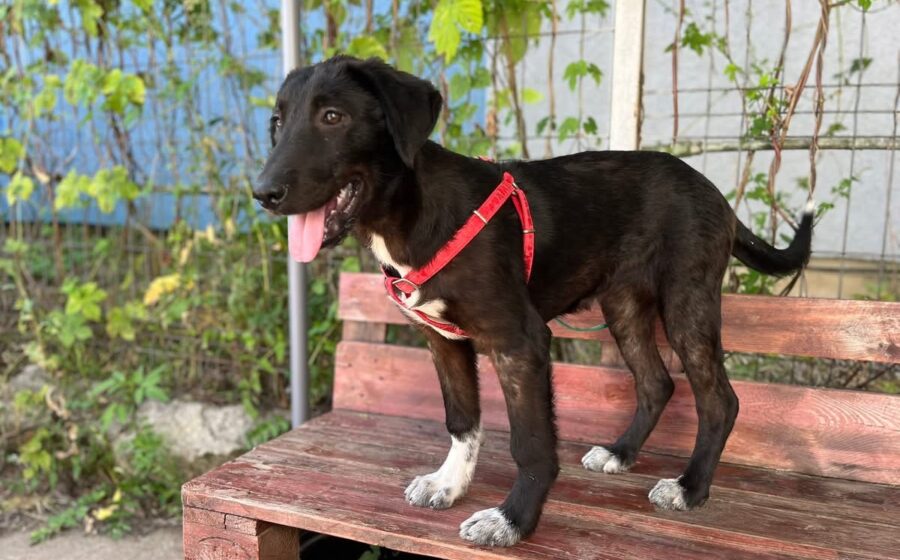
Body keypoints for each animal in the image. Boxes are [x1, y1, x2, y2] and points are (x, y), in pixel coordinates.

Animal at [253, 56, 813, 547]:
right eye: (277, 122)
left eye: (333, 117)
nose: (262, 193)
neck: (412, 215)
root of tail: (715, 193)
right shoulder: (443, 341)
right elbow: (462, 420)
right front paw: (449, 483)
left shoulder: (520, 342)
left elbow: (530, 443)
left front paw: (513, 521)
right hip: (624, 305)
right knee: (656, 383)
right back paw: (620, 453)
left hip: (686, 300)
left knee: (719, 398)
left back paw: (690, 488)